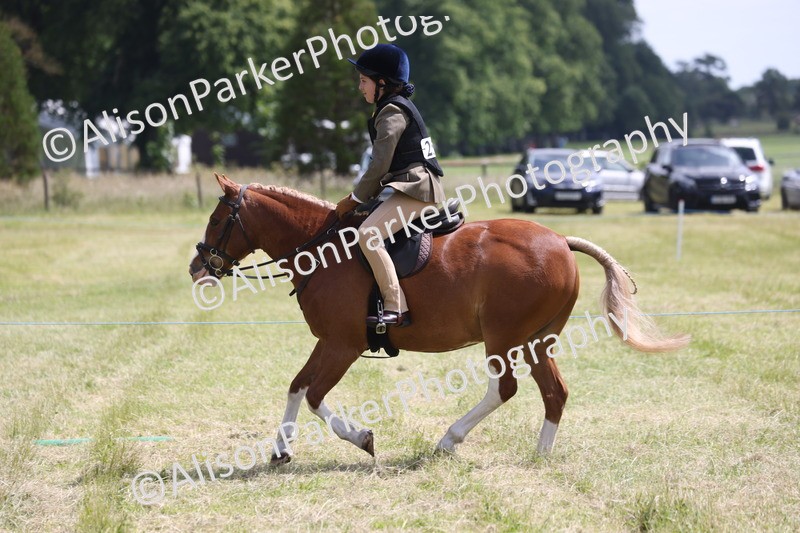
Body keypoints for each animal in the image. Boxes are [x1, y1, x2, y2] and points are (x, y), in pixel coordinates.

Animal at [189, 173, 689, 463]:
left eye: (216, 220)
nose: (197, 267)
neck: (321, 248)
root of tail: (561, 240)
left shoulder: (344, 344)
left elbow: (314, 395)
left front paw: (362, 438)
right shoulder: (329, 341)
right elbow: (297, 387)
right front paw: (280, 449)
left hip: (503, 336)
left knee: (505, 389)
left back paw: (449, 440)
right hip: (535, 340)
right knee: (554, 392)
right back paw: (541, 456)